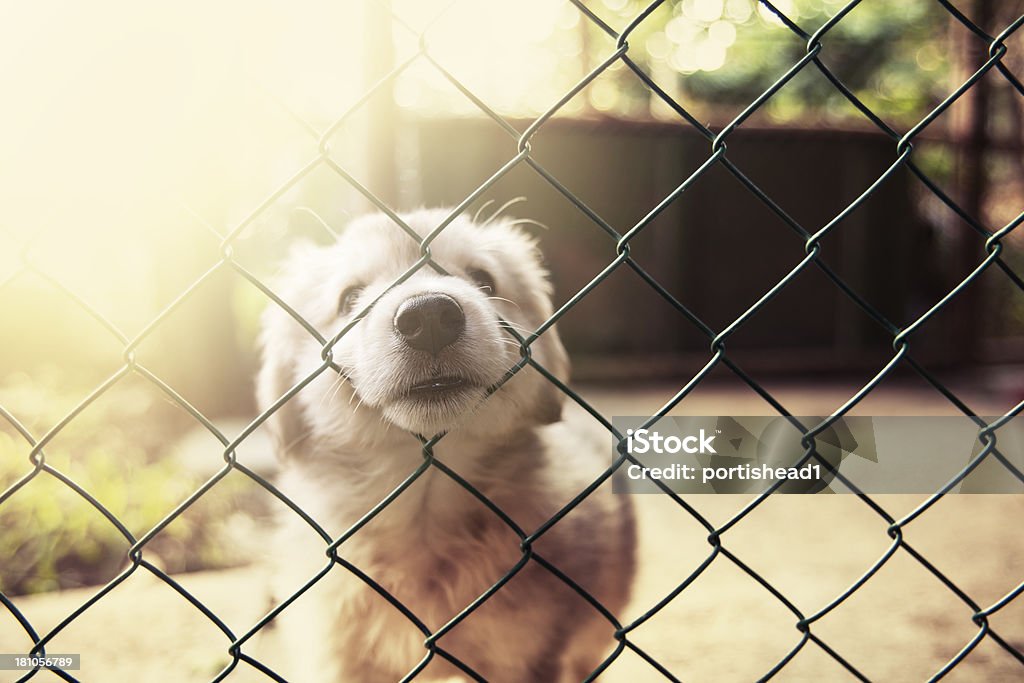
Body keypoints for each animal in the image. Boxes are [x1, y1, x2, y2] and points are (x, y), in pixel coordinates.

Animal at [258, 209, 630, 683]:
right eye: (350, 298)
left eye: (483, 280)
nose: (430, 315)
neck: (423, 506)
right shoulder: (338, 659)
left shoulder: (526, 658)